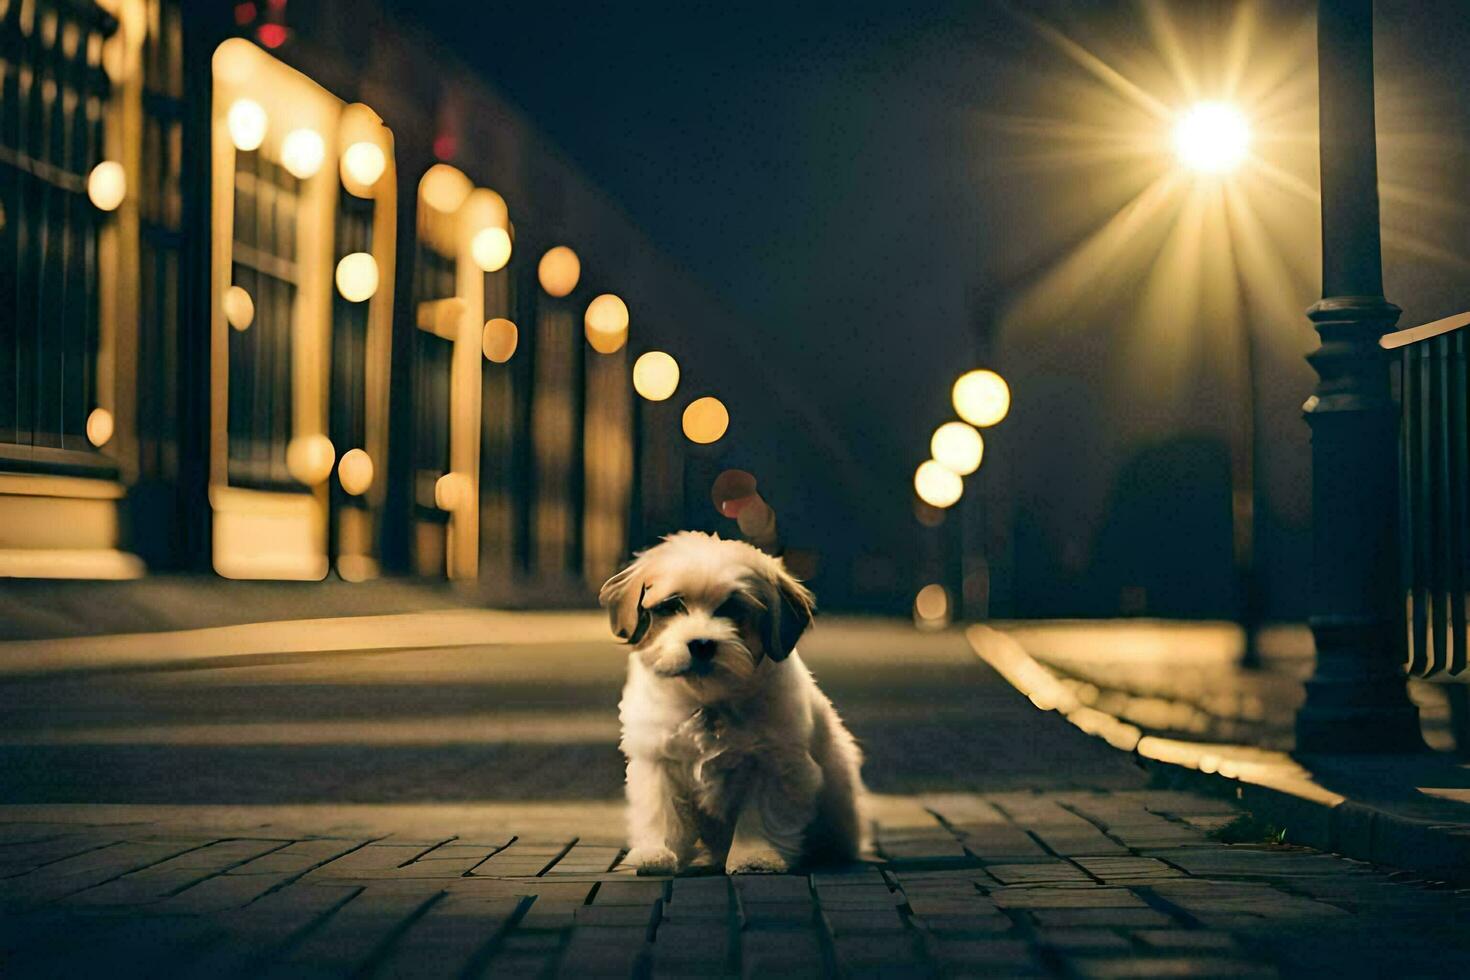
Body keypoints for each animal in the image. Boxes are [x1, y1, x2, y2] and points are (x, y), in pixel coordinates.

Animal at [599, 531, 864, 875]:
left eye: (733, 609)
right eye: (673, 606)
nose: (701, 643)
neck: (709, 699)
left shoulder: (774, 765)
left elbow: (759, 816)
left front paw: (755, 857)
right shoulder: (658, 761)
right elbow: (660, 812)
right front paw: (657, 852)